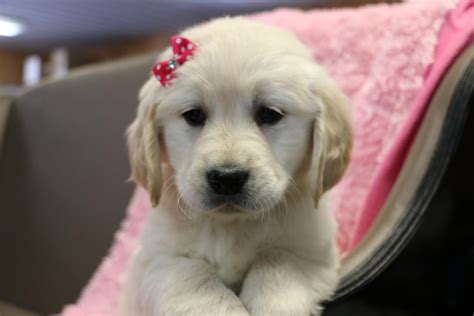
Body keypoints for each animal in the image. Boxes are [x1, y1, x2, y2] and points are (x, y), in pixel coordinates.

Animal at [121, 17, 352, 316]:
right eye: (193, 115)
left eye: (270, 113)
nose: (227, 178)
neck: (233, 225)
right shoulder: (153, 261)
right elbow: (191, 274)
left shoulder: (314, 250)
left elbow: (278, 259)